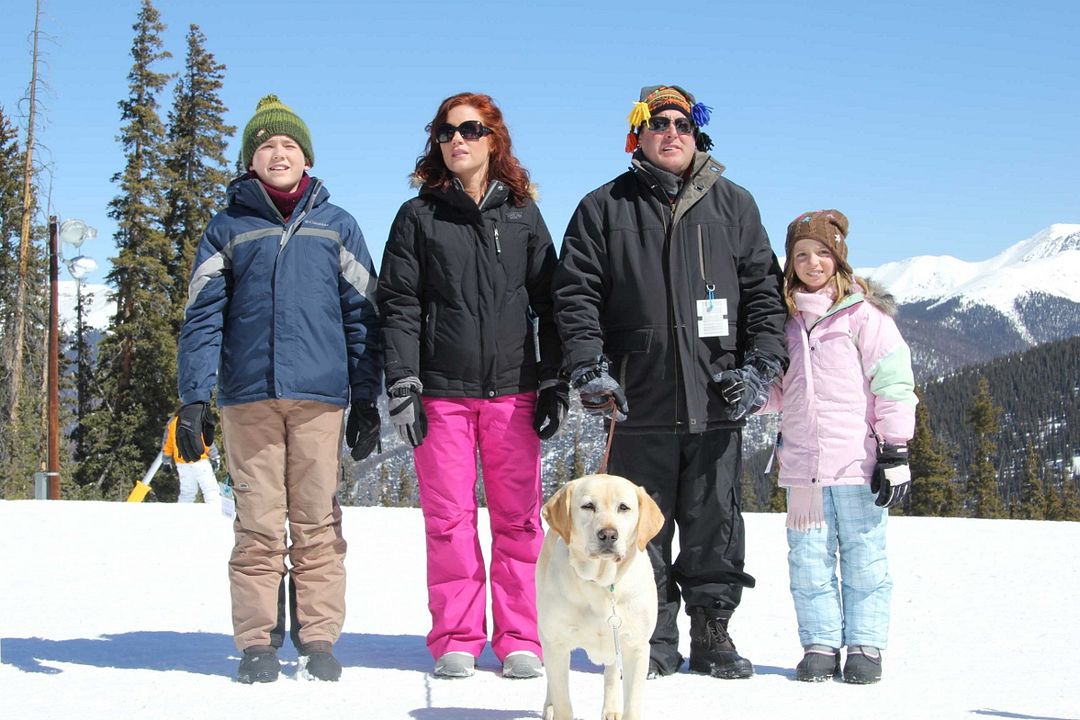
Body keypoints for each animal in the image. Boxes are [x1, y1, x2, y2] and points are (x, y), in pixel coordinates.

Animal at [535, 472, 660, 720]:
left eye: (624, 507)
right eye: (588, 506)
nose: (608, 535)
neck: (602, 584)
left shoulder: (636, 647)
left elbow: (631, 705)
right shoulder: (556, 642)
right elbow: (563, 701)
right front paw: (557, 708)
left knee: (611, 674)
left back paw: (611, 710)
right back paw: (549, 707)